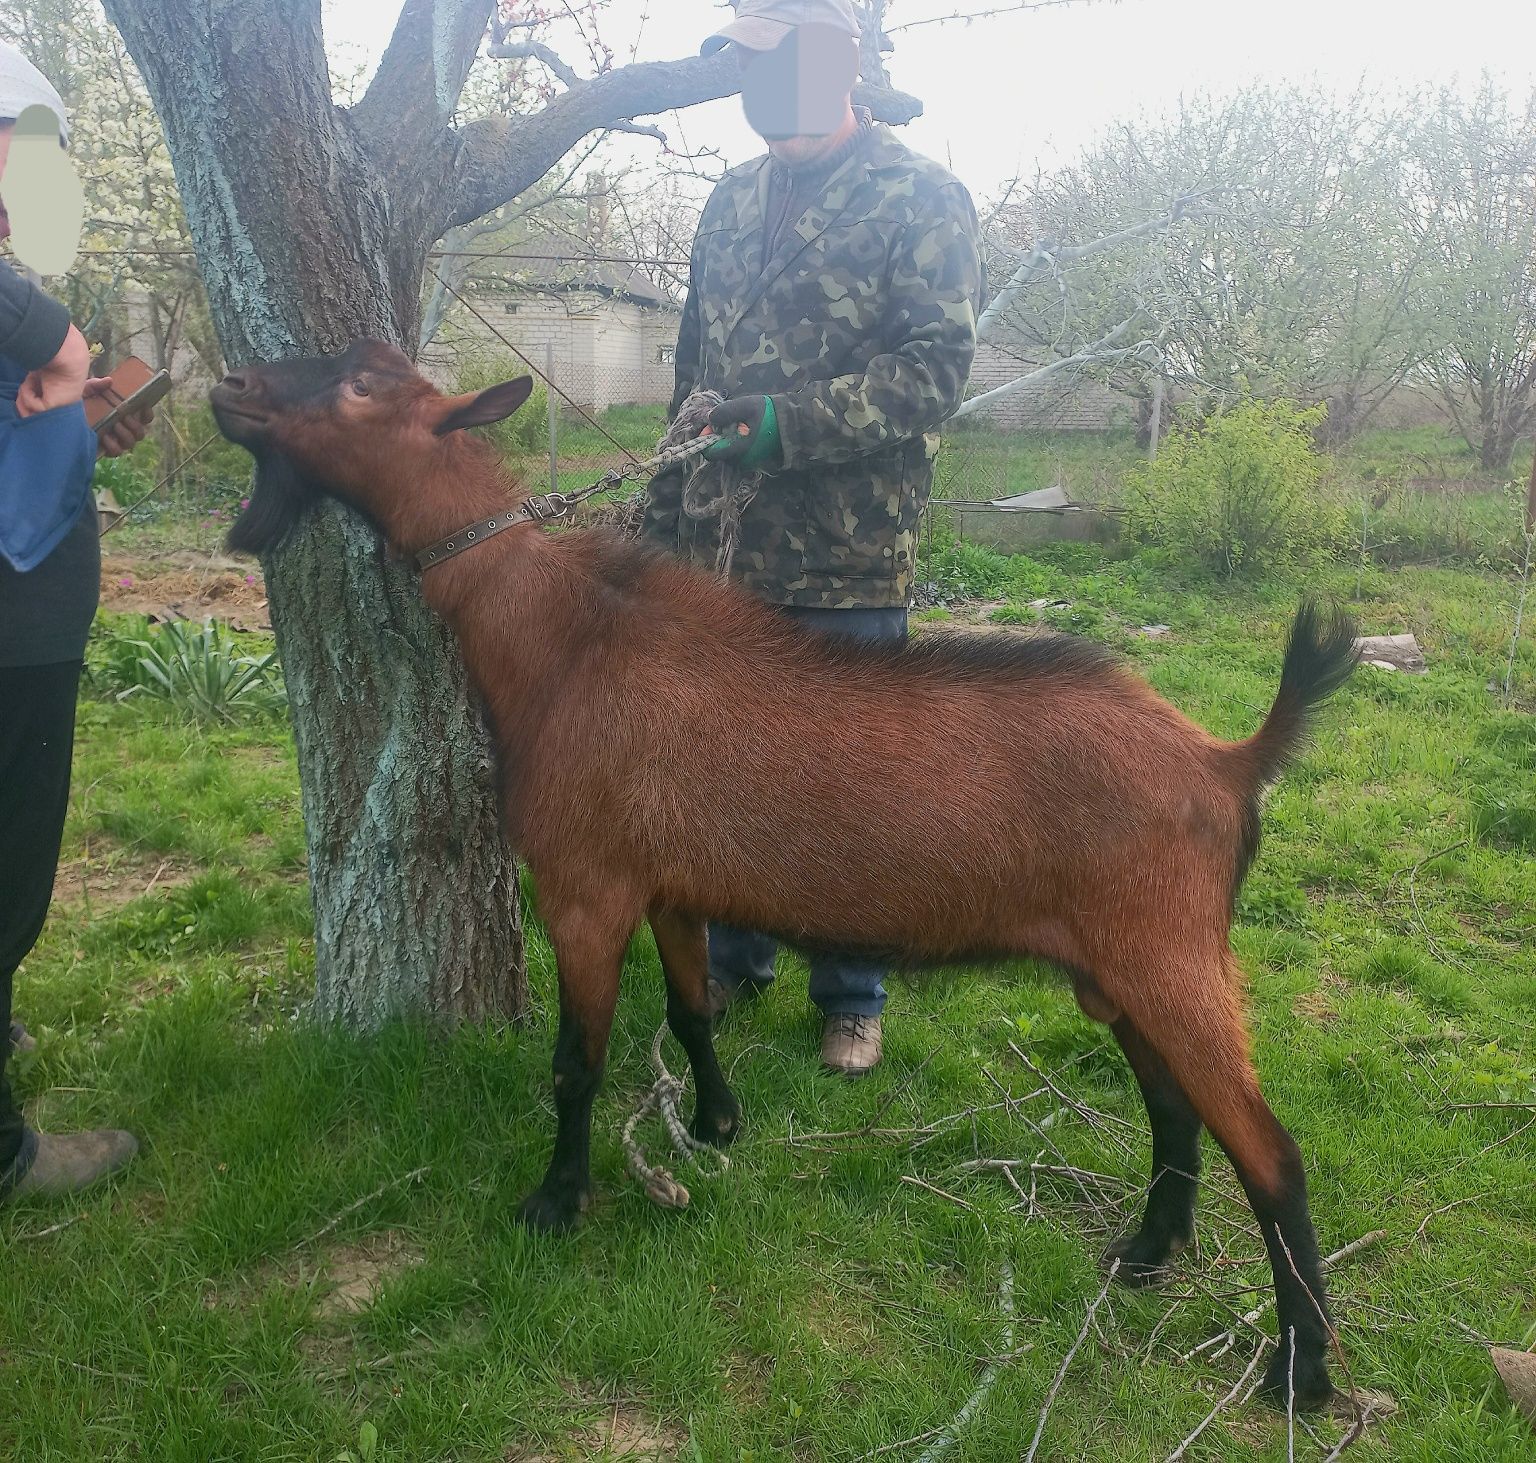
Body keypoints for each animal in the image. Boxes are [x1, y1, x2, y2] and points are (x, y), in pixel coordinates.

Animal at [213, 339, 1357, 1407]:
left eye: (361, 384)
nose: (231, 386)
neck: (560, 638)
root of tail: (1226, 759)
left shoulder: (584, 886)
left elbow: (576, 1060)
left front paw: (555, 1201)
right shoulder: (665, 886)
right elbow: (690, 1011)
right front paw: (716, 1124)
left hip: (1171, 952)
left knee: (1273, 1149)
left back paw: (1300, 1368)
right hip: (1112, 967)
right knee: (1174, 1108)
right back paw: (1148, 1254)